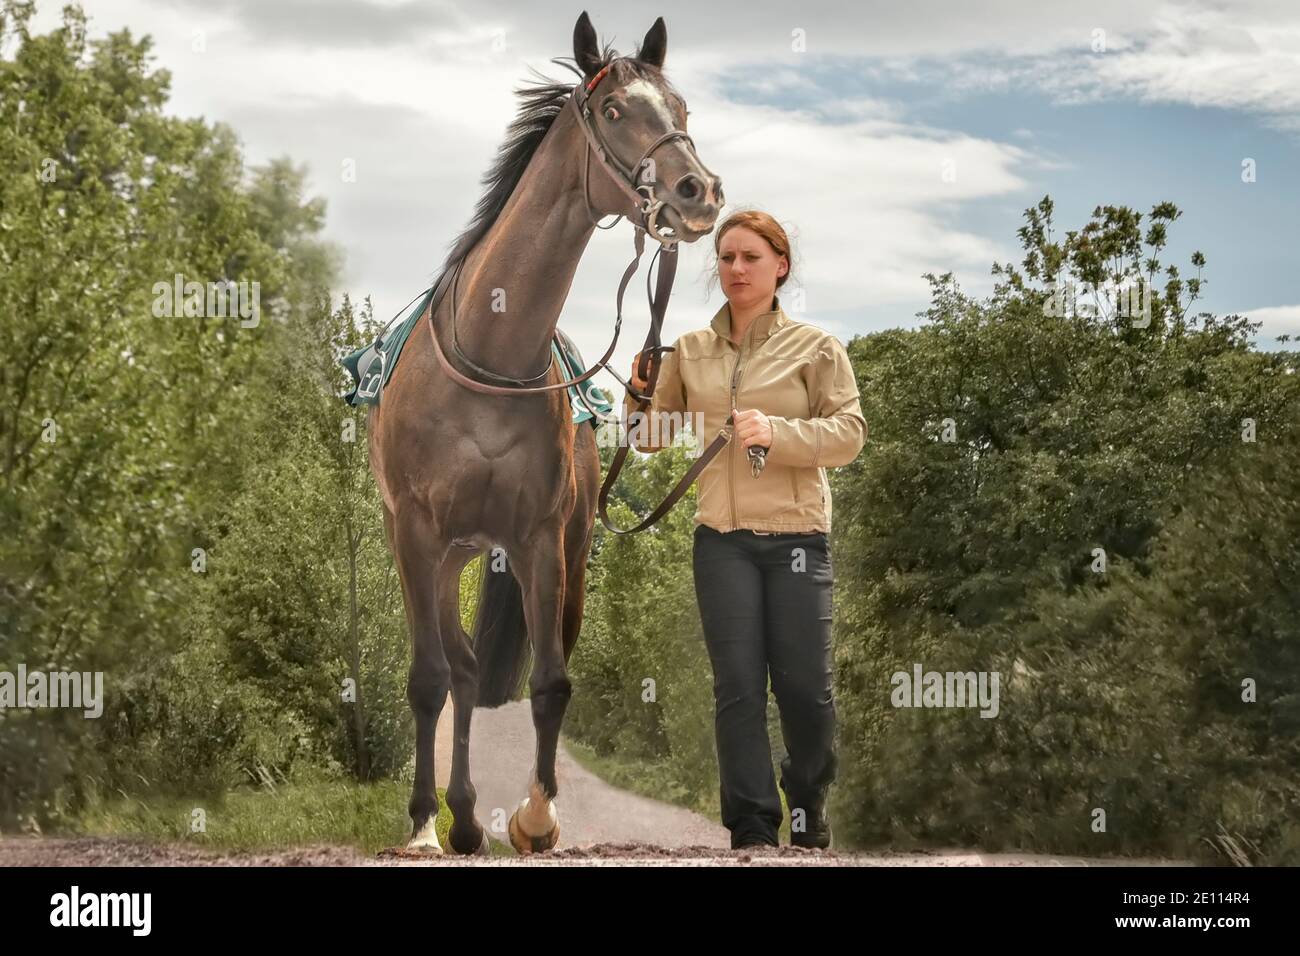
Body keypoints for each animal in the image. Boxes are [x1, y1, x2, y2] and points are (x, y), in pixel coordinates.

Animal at [369, 11, 722, 858]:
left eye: (680, 107)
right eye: (616, 110)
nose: (698, 191)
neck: (493, 353)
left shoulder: (539, 538)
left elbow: (551, 682)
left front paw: (535, 817)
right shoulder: (416, 534)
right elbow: (427, 678)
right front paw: (421, 827)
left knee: (477, 669)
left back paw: (472, 817)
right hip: (442, 554)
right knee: (456, 671)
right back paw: (452, 818)